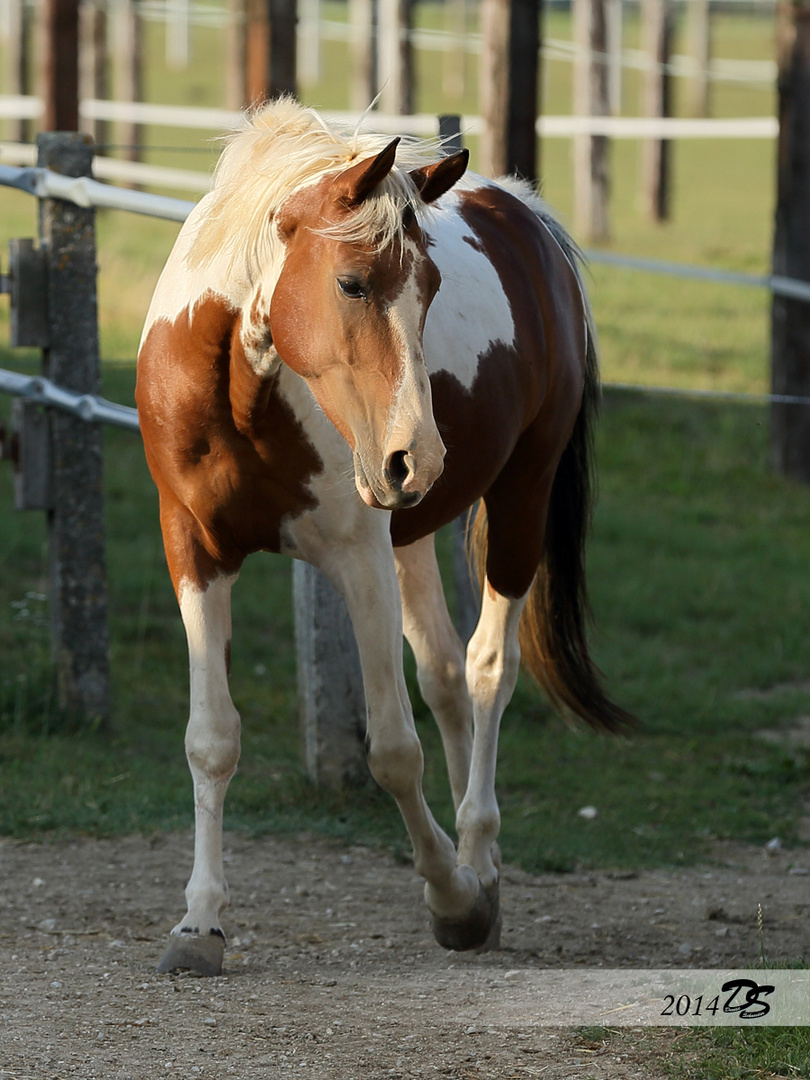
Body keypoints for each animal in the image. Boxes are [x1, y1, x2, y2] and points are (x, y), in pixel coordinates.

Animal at [138, 103, 635, 980]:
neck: (239, 392)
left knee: (486, 670)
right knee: (444, 675)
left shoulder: (357, 557)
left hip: (519, 500)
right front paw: (199, 925)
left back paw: (477, 863)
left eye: (429, 287)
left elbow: (395, 751)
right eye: (351, 283)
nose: (419, 458)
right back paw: (480, 870)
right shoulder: (194, 552)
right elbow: (212, 740)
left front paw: (453, 900)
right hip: (412, 535)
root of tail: (524, 212)